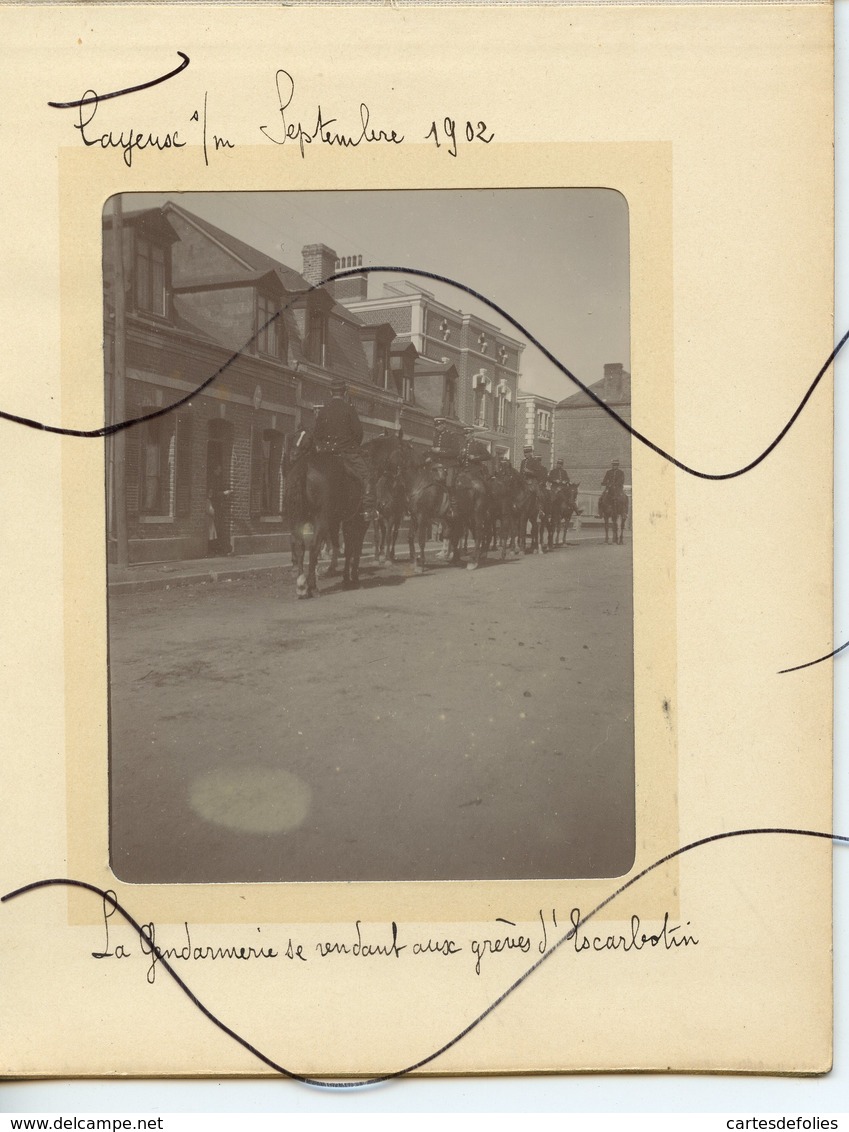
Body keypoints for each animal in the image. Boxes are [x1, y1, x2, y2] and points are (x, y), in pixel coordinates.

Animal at [284, 427, 366, 597]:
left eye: (308, 440)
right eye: (294, 438)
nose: (293, 455)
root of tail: (304, 466)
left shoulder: (336, 522)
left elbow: (339, 544)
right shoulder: (353, 521)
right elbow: (351, 548)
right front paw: (350, 577)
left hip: (297, 519)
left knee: (300, 545)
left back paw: (302, 585)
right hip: (321, 519)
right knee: (314, 546)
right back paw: (312, 586)